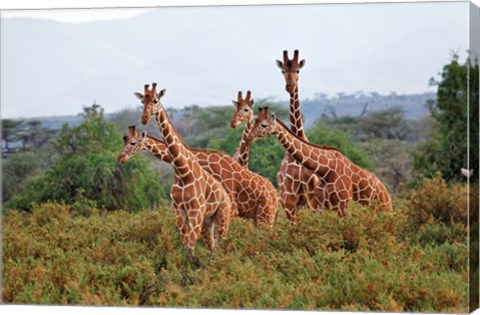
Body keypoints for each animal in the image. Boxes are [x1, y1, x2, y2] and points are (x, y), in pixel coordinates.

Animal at [117, 127, 282, 231]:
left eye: (132, 143)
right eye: (124, 140)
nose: (120, 158)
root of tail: (276, 196)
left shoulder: (230, 207)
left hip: (265, 216)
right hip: (263, 217)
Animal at [248, 107, 394, 216]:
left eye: (264, 125)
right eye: (255, 122)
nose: (250, 136)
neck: (325, 170)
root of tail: (386, 192)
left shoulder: (342, 203)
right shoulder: (322, 205)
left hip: (384, 207)